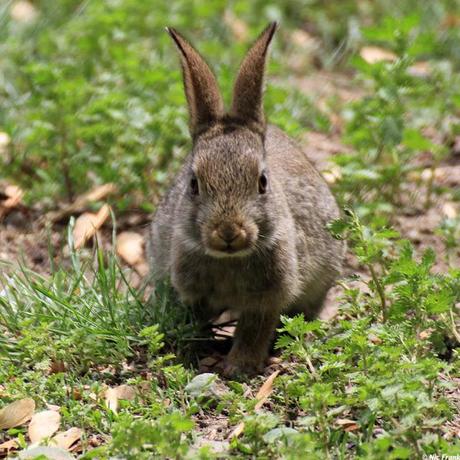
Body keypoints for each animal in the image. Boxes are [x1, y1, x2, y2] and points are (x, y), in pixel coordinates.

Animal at [149, 21, 346, 378]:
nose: (228, 232)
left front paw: (239, 367)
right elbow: (197, 323)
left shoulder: (268, 296)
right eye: (194, 184)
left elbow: (255, 329)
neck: (230, 260)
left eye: (262, 182)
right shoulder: (193, 292)